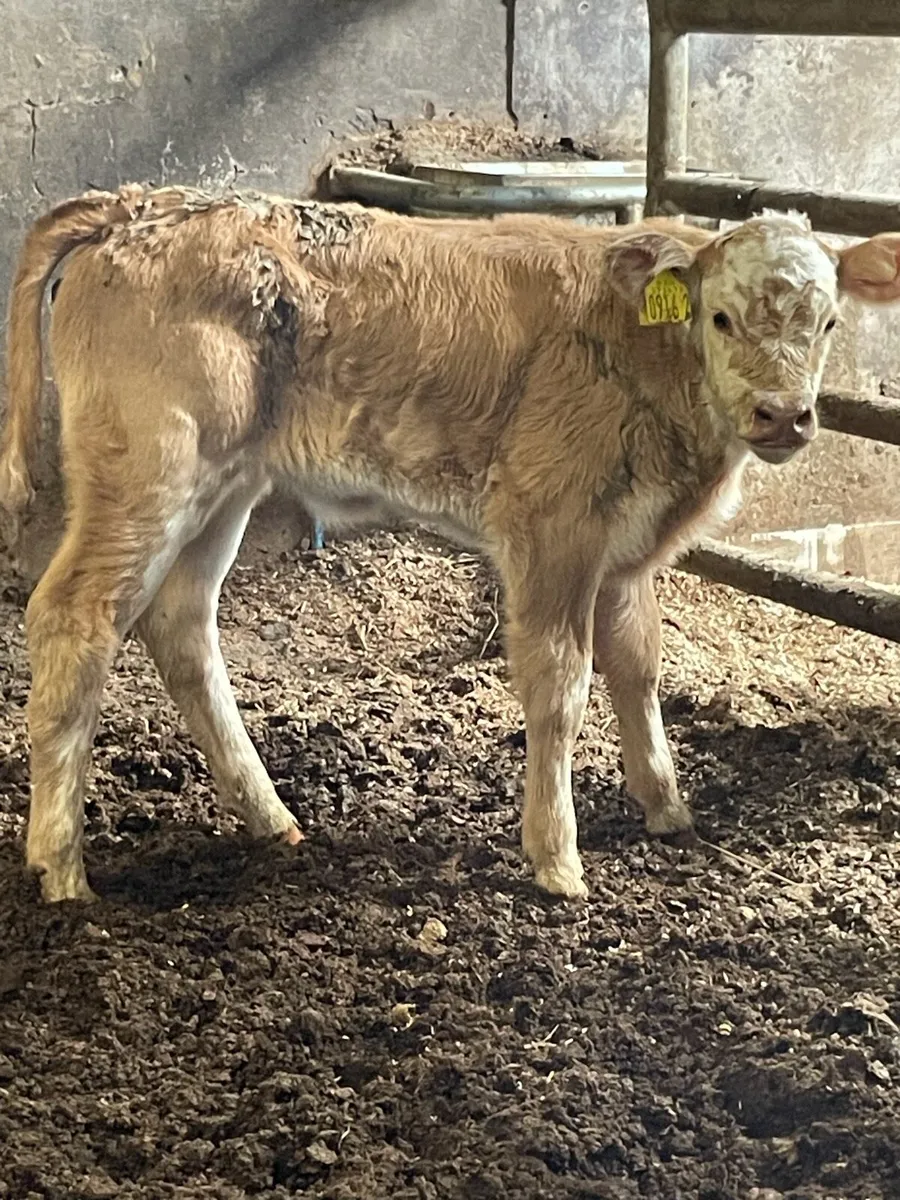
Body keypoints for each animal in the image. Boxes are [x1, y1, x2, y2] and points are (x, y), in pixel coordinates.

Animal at [1, 183, 898, 904]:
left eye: (827, 323)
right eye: (720, 316)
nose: (784, 415)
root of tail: (139, 204)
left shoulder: (625, 547)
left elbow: (639, 665)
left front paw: (667, 807)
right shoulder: (551, 525)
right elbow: (562, 685)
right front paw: (557, 859)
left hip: (226, 482)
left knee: (181, 623)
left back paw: (271, 816)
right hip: (148, 472)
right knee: (75, 616)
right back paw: (61, 868)